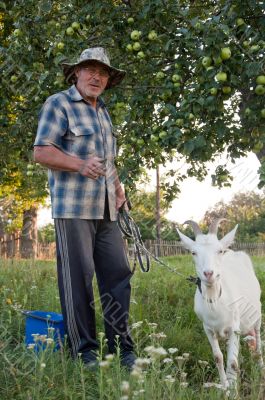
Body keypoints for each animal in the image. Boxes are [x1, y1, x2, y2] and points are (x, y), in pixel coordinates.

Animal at [176, 220, 260, 390]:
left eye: (220, 251)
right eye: (193, 252)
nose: (209, 273)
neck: (215, 301)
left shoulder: (234, 328)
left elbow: (233, 363)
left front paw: (233, 391)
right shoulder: (208, 329)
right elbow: (218, 358)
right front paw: (225, 387)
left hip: (257, 314)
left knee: (259, 341)